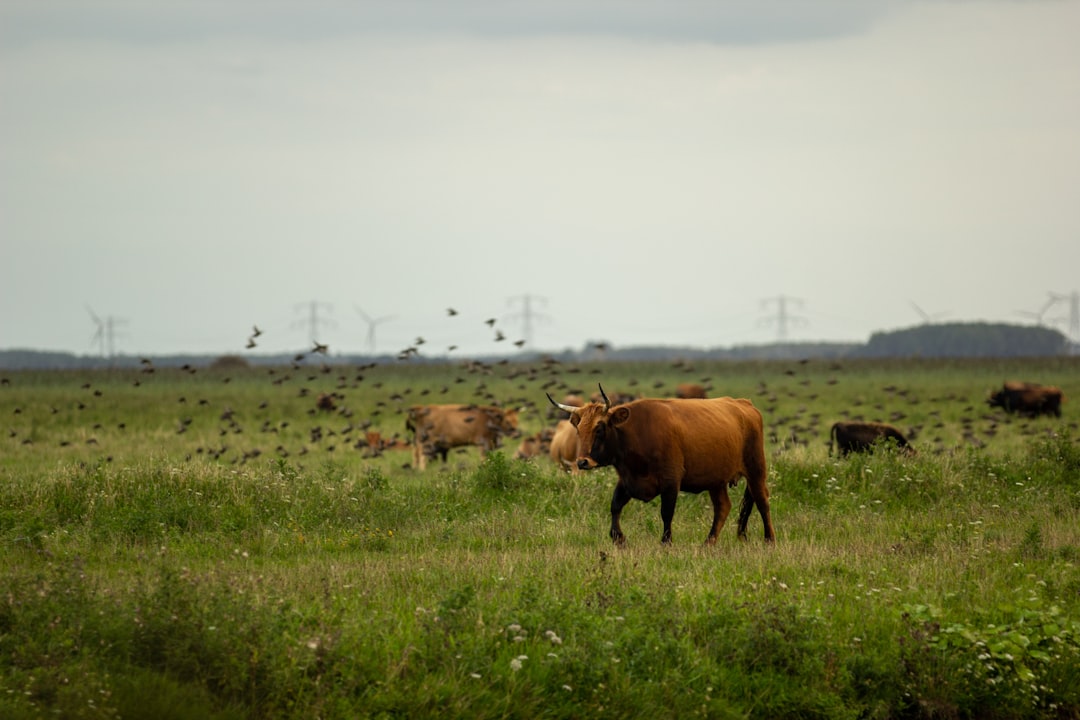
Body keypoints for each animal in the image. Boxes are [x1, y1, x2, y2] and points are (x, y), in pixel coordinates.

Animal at [548, 382, 777, 546]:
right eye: (579, 429)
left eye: (600, 427)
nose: (582, 461)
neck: (636, 433)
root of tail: (744, 404)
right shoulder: (628, 481)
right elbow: (615, 506)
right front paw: (619, 538)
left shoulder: (670, 481)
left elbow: (666, 513)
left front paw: (666, 543)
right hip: (717, 481)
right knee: (723, 507)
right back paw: (708, 543)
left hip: (756, 469)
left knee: (762, 501)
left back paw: (769, 540)